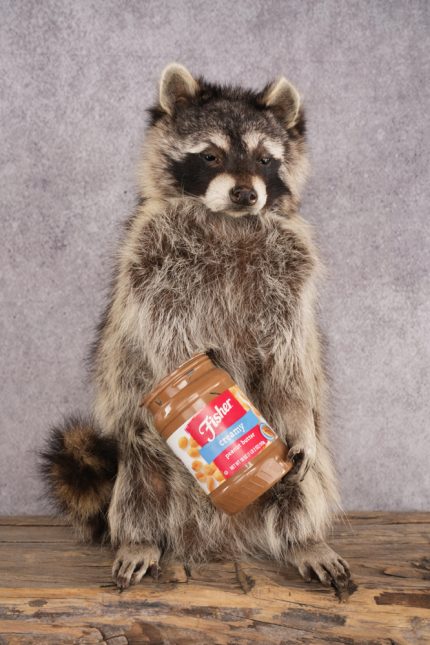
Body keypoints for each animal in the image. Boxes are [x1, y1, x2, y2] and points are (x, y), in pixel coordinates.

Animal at [41, 63, 352, 595]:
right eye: (211, 155)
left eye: (265, 159)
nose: (246, 193)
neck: (229, 220)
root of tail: (220, 535)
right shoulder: (151, 255)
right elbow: (167, 338)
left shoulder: (291, 272)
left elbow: (289, 361)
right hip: (139, 454)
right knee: (139, 480)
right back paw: (140, 538)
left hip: (291, 470)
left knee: (300, 485)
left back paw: (304, 539)